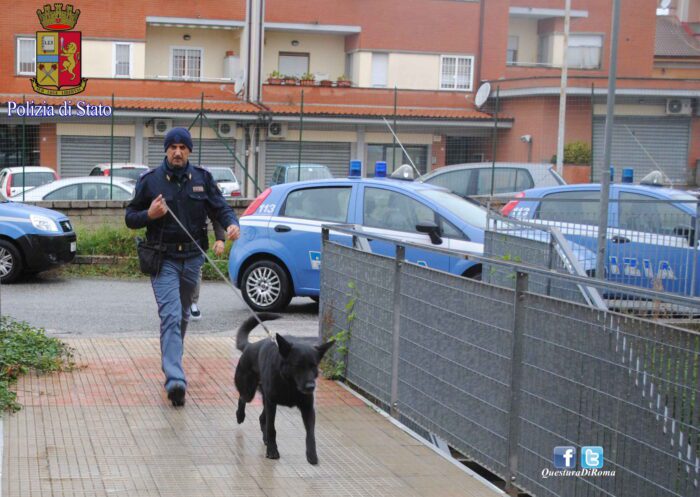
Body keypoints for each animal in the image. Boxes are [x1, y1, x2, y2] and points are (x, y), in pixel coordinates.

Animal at [235, 312, 334, 464]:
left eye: (313, 366)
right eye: (298, 365)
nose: (311, 387)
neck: (290, 385)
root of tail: (249, 346)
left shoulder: (307, 408)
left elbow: (310, 433)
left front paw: (312, 454)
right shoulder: (272, 403)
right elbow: (272, 429)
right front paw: (272, 451)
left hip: (265, 398)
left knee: (261, 418)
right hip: (249, 391)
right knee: (242, 398)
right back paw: (240, 415)